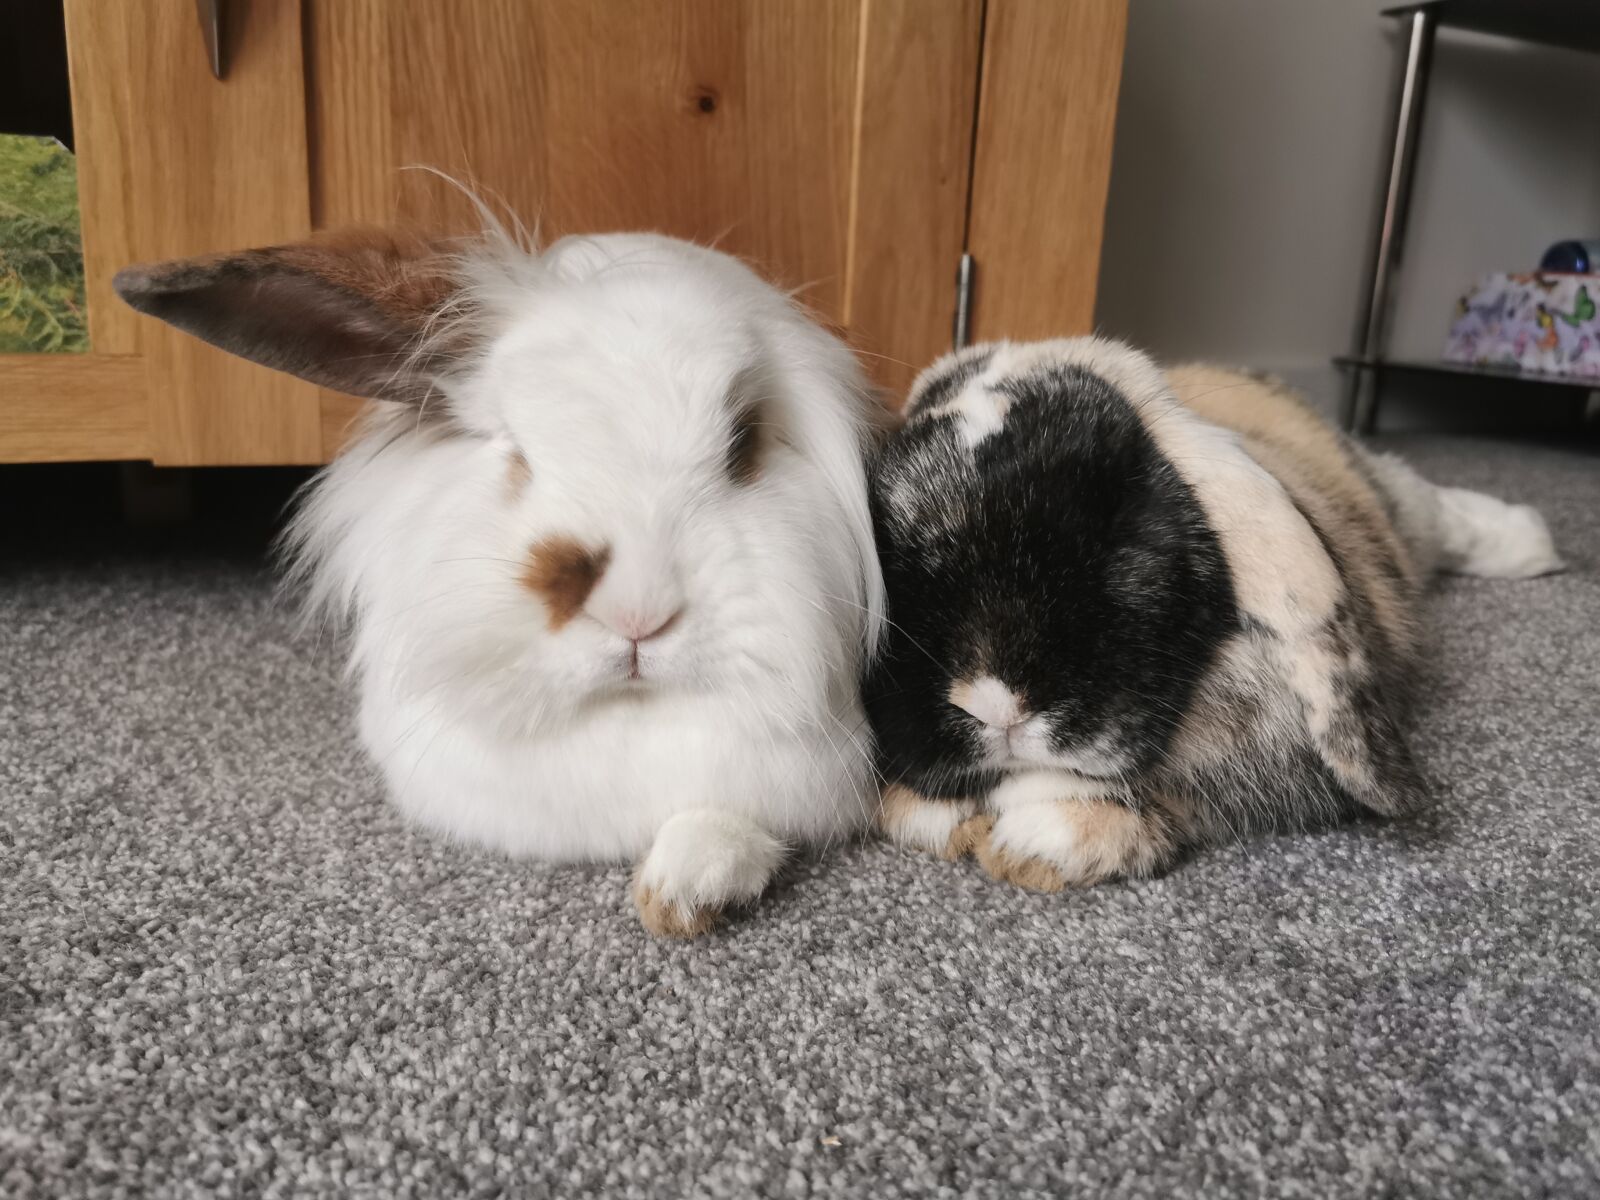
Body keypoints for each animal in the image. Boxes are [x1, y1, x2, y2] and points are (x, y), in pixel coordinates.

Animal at [863, 337, 1563, 890]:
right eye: (891, 551)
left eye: (1119, 532)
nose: (993, 703)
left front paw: (1042, 842)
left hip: (1398, 504)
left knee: (1446, 516)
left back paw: (1539, 547)